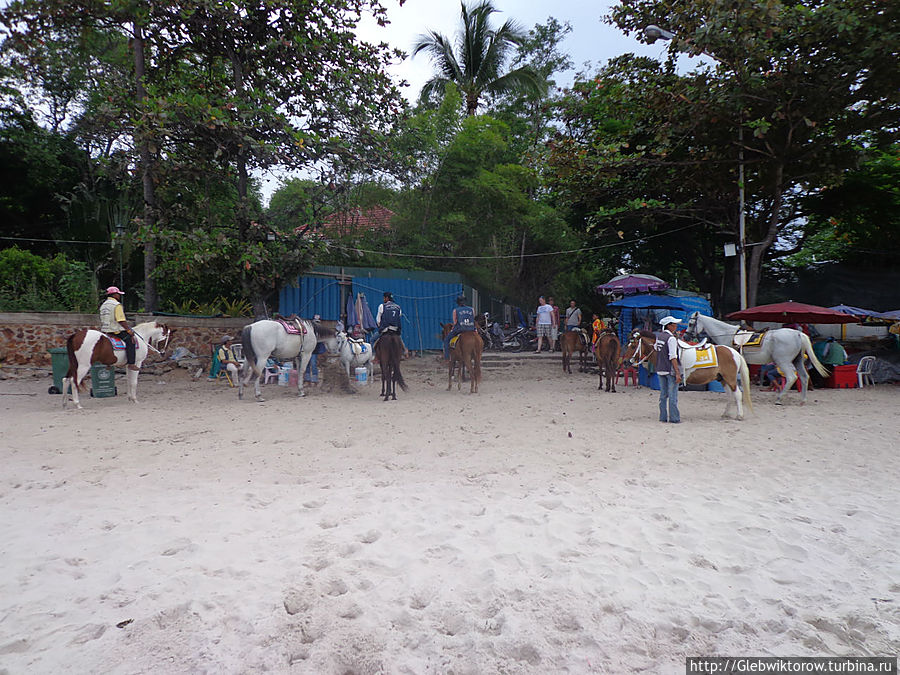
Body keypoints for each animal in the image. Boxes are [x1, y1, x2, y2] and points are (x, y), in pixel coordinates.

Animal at [688, 312, 828, 404]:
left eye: (690, 323)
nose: (686, 336)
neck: (728, 334)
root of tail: (798, 333)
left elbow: (738, 379)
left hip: (783, 361)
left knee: (791, 377)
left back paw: (779, 399)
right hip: (797, 361)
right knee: (804, 377)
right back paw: (803, 400)